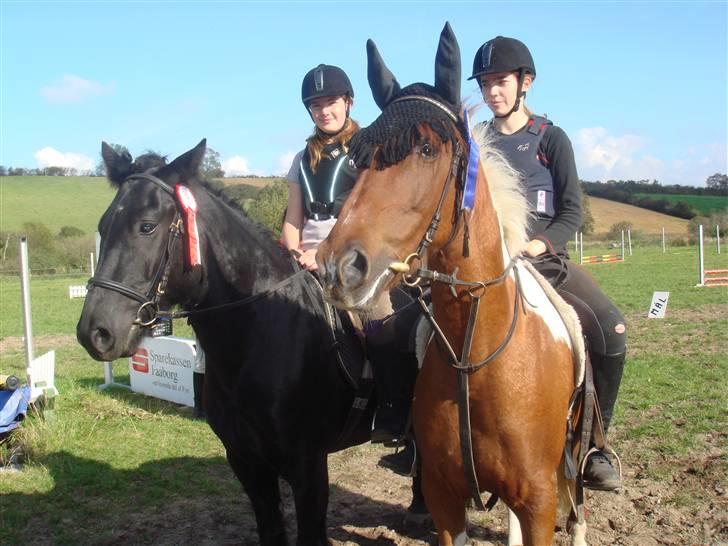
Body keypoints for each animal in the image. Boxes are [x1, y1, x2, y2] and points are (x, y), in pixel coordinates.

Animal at [77, 140, 424, 544]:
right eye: (103, 227)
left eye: (146, 226)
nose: (95, 331)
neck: (259, 336)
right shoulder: (247, 463)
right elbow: (270, 530)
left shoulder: (308, 467)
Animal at [322, 24, 588, 544]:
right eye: (360, 160)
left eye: (427, 150)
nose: (339, 268)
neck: (476, 358)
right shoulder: (445, 498)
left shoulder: (539, 502)